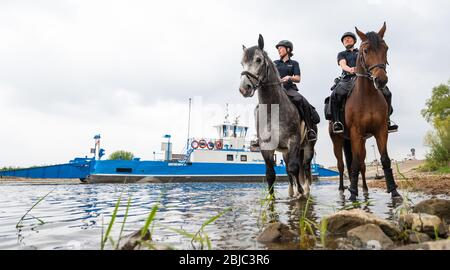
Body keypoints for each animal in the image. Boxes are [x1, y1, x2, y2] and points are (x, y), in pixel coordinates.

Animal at [239, 34, 316, 198]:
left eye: (258, 60)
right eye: (242, 63)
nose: (244, 88)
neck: (272, 110)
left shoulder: (293, 141)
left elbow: (294, 168)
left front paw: (301, 192)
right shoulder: (266, 146)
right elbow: (271, 174)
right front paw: (271, 197)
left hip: (308, 147)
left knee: (305, 167)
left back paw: (305, 190)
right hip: (286, 152)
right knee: (289, 171)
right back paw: (292, 191)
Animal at [328, 23, 402, 200]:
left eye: (386, 48)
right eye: (366, 50)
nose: (381, 80)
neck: (367, 95)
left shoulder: (381, 131)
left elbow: (384, 159)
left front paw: (394, 191)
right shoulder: (356, 132)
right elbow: (353, 163)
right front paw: (353, 194)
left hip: (361, 141)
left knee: (361, 164)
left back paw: (365, 189)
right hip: (338, 140)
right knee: (341, 165)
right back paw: (342, 189)